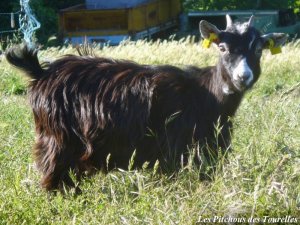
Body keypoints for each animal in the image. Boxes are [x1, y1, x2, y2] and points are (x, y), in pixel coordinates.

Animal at [5, 14, 286, 190]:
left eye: (258, 49)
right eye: (222, 48)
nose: (242, 77)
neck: (207, 93)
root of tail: (41, 73)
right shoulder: (178, 150)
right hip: (58, 140)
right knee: (53, 175)